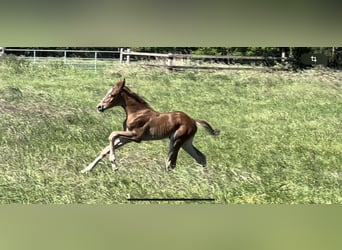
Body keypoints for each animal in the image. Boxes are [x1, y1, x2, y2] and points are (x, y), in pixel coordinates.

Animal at [80, 79, 219, 173]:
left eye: (113, 95)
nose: (99, 107)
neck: (137, 112)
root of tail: (193, 121)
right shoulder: (126, 137)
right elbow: (105, 149)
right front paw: (86, 170)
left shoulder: (136, 136)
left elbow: (112, 134)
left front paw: (114, 164)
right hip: (186, 142)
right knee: (200, 157)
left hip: (176, 141)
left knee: (171, 163)